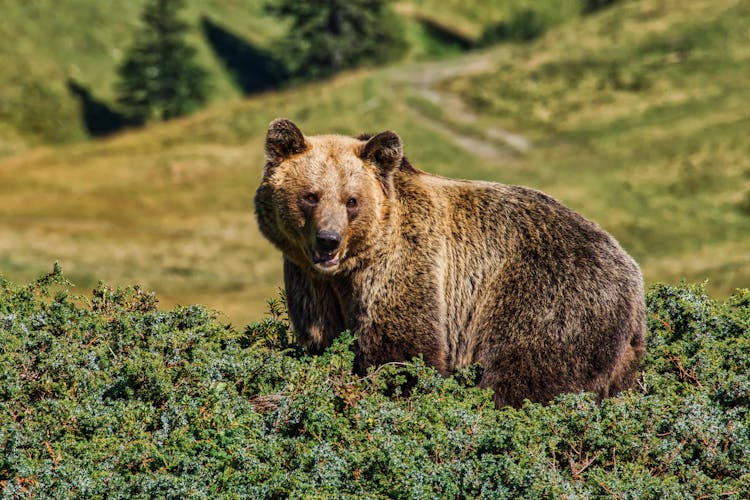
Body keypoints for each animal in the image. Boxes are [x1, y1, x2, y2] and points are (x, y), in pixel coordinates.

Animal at [254, 119, 648, 408]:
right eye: (311, 196)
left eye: (352, 200)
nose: (328, 239)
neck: (350, 269)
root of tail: (632, 272)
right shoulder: (311, 283)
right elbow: (321, 337)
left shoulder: (405, 264)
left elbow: (402, 348)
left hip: (547, 297)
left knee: (524, 375)